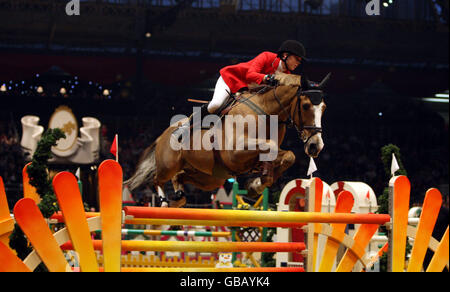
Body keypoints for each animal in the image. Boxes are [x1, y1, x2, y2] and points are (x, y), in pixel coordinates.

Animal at [126, 72, 330, 206]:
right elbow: (270, 146)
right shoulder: (235, 153)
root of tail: (162, 135)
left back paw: (178, 197)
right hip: (169, 165)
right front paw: (258, 182)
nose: (316, 146)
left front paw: (257, 184)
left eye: (324, 108)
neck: (266, 112)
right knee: (157, 179)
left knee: (180, 177)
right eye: (305, 106)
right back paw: (164, 202)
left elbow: (288, 156)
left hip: (209, 178)